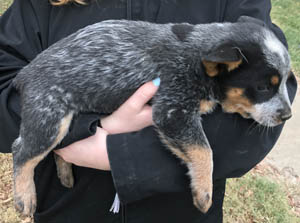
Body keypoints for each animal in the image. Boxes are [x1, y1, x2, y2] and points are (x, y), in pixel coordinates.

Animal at [11, 16, 290, 216]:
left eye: (287, 80)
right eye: (263, 87)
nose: (287, 115)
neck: (196, 56)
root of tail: (24, 74)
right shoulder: (172, 110)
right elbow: (204, 151)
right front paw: (203, 192)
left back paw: (65, 174)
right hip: (49, 119)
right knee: (21, 151)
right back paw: (24, 198)